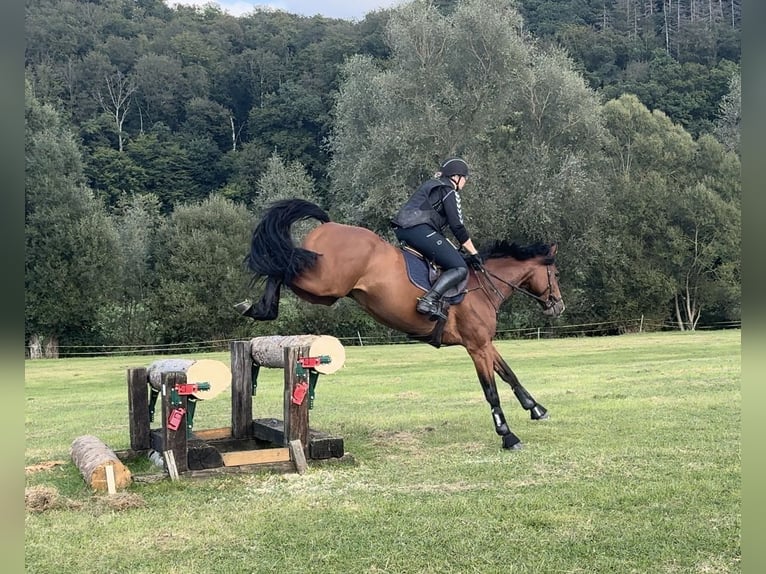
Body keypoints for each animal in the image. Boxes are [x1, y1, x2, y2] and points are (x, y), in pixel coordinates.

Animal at [237, 200, 568, 452]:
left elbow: (509, 374)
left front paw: (536, 408)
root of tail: (328, 225)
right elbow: (491, 391)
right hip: (324, 283)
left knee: (287, 264)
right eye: (555, 273)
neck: (483, 286)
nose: (558, 306)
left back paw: (259, 308)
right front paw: (507, 435)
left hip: (323, 292)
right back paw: (257, 307)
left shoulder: (484, 343)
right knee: (284, 264)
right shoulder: (476, 347)